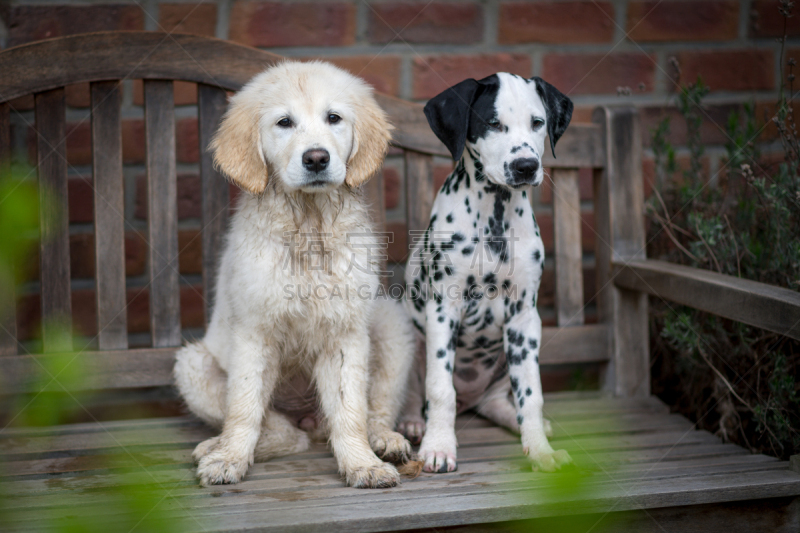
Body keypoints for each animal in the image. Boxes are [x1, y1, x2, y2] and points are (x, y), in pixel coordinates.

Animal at [173, 61, 416, 486]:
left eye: (334, 118)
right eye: (284, 122)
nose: (316, 158)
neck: (310, 224)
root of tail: (310, 422)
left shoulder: (346, 332)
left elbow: (350, 410)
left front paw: (362, 464)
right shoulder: (254, 332)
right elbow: (244, 407)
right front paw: (229, 458)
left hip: (390, 324)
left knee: (373, 410)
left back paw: (384, 440)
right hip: (193, 365)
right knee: (281, 431)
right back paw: (215, 446)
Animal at [400, 72, 576, 472]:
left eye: (537, 123)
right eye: (493, 123)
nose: (526, 166)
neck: (495, 215)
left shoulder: (524, 319)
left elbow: (532, 395)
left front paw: (539, 450)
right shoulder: (442, 311)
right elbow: (439, 389)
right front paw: (438, 447)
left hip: (502, 366)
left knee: (500, 404)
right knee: (415, 394)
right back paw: (413, 423)